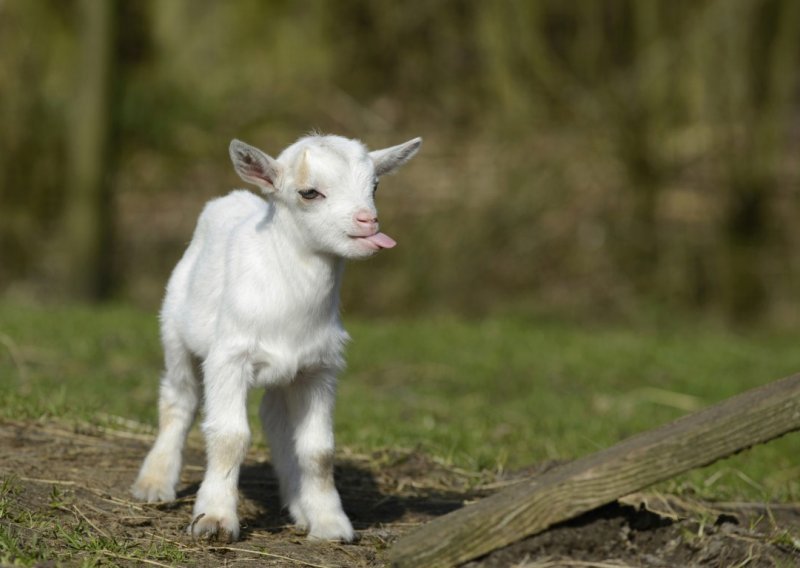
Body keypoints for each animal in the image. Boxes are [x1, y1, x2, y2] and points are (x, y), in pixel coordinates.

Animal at [132, 133, 422, 540]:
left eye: (375, 185)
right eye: (309, 192)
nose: (368, 221)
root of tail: (234, 197)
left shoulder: (319, 368)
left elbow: (319, 450)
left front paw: (329, 522)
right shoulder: (229, 358)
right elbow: (229, 436)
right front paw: (214, 519)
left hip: (286, 373)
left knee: (275, 418)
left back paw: (298, 505)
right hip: (175, 333)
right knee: (179, 398)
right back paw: (154, 483)